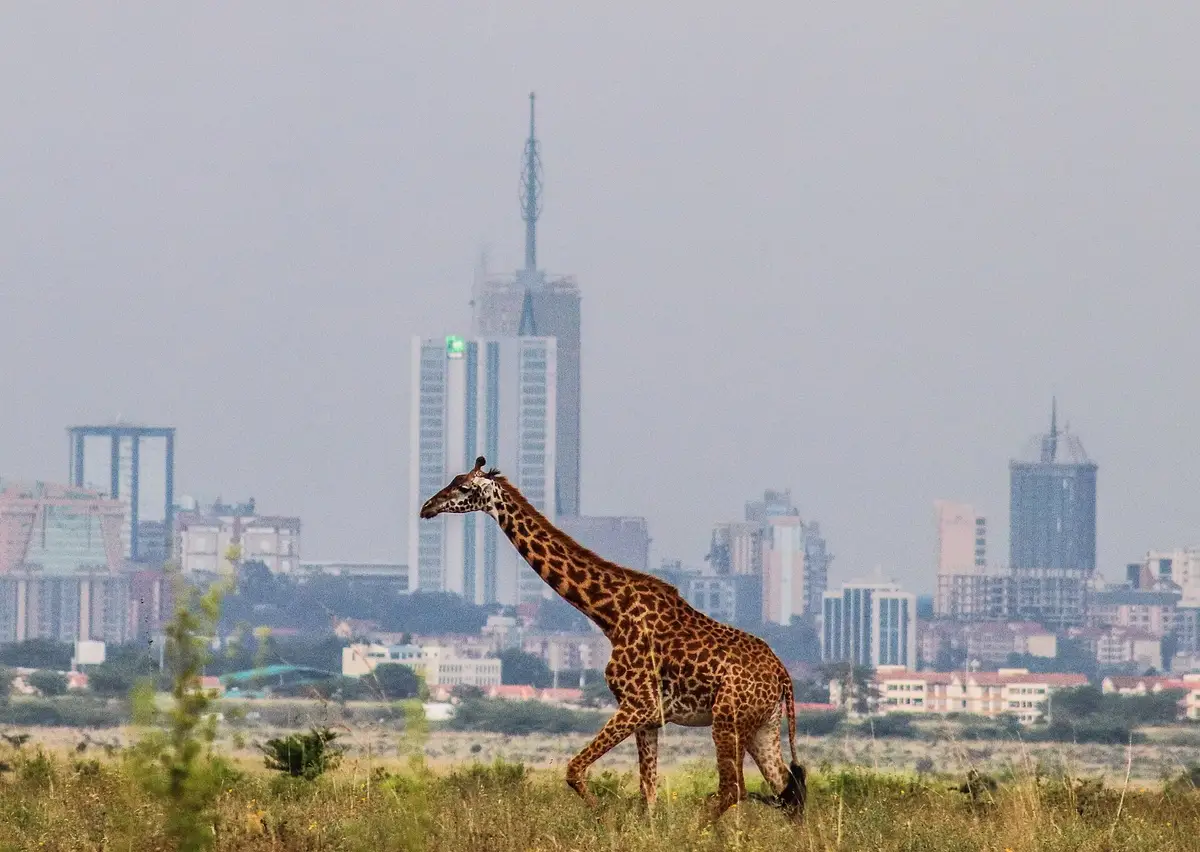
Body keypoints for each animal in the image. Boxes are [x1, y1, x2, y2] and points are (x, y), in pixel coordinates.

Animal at [419, 457, 807, 821]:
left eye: (464, 487)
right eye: (453, 480)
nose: (427, 507)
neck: (611, 615)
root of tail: (782, 675)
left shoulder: (638, 704)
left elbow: (575, 770)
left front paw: (602, 818)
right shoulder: (649, 718)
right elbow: (648, 792)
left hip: (728, 719)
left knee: (735, 788)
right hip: (762, 725)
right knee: (788, 789)